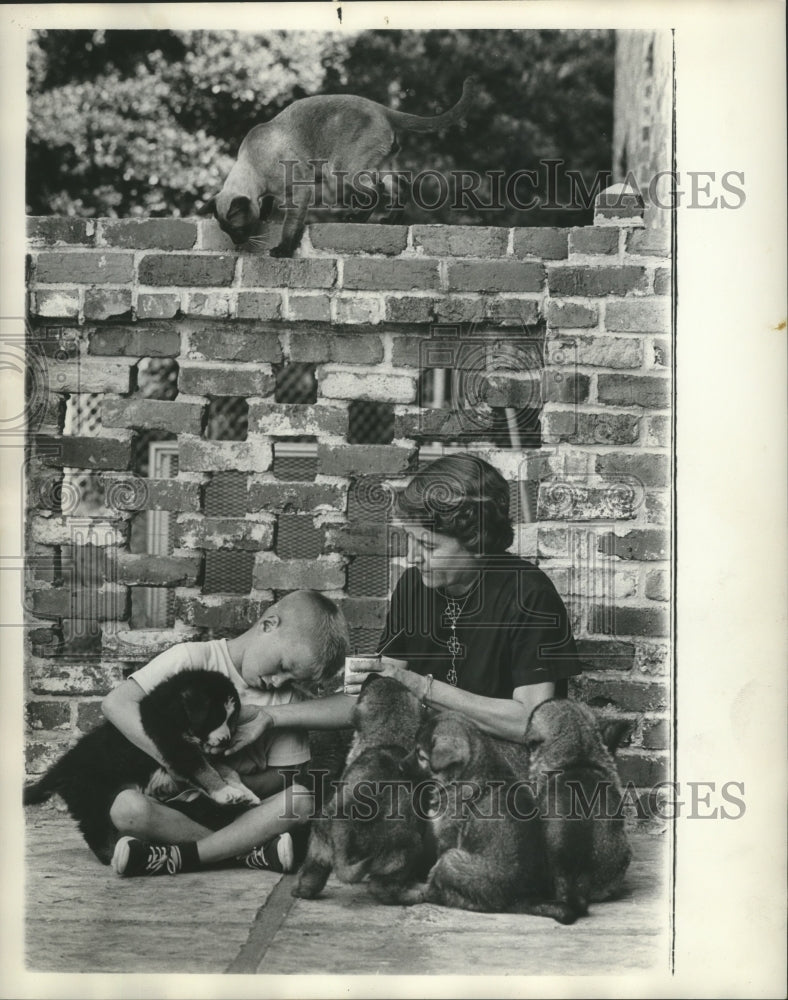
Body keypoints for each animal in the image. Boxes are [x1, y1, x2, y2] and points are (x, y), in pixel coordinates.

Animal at [23, 668, 258, 864]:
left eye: (231, 718)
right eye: (216, 717)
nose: (226, 740)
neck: (175, 714)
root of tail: (61, 767)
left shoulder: (202, 752)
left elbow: (225, 770)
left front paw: (246, 793)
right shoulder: (176, 747)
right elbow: (205, 771)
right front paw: (226, 793)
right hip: (92, 796)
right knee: (94, 829)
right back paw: (111, 854)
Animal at [202, 78, 474, 258]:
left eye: (238, 229)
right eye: (227, 232)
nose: (238, 242)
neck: (252, 162)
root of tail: (380, 107)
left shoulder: (300, 192)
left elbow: (290, 225)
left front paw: (282, 250)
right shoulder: (272, 194)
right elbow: (267, 205)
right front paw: (266, 216)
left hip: (341, 170)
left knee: (376, 191)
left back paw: (358, 218)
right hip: (377, 167)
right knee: (399, 186)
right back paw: (390, 220)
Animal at [290, 676, 428, 904]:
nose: (372, 674)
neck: (388, 736)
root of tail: (347, 818)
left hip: (320, 839)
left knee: (313, 872)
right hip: (405, 851)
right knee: (382, 888)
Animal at [404, 712, 576, 920]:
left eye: (420, 755)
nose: (400, 765)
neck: (466, 772)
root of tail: (521, 898)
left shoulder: (447, 839)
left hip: (450, 860)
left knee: (441, 890)